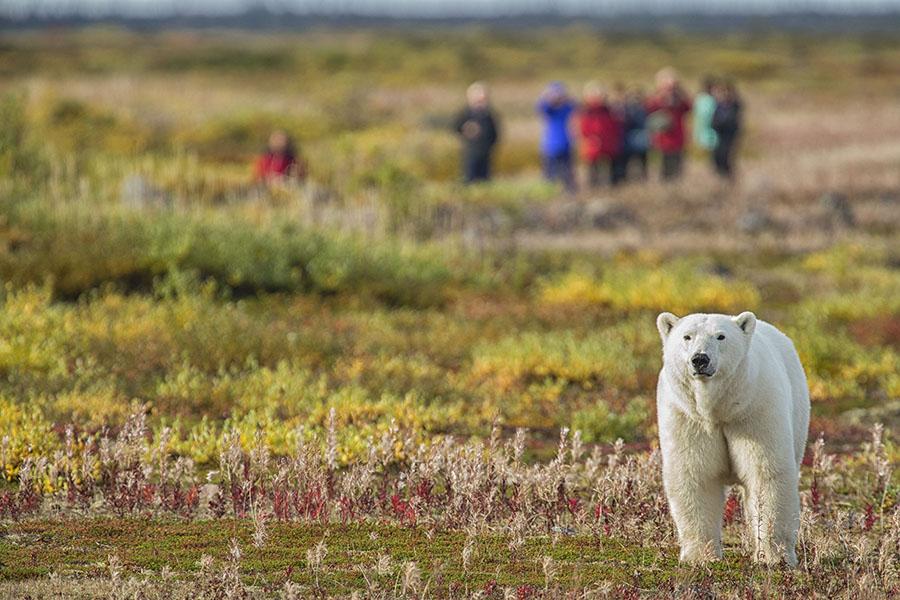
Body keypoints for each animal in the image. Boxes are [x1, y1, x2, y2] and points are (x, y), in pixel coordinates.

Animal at [655, 311, 810, 567]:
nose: (700, 359)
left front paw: (774, 556)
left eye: (721, 336)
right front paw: (701, 557)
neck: (719, 410)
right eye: (687, 336)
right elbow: (695, 474)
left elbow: (766, 474)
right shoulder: (687, 417)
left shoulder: (754, 411)